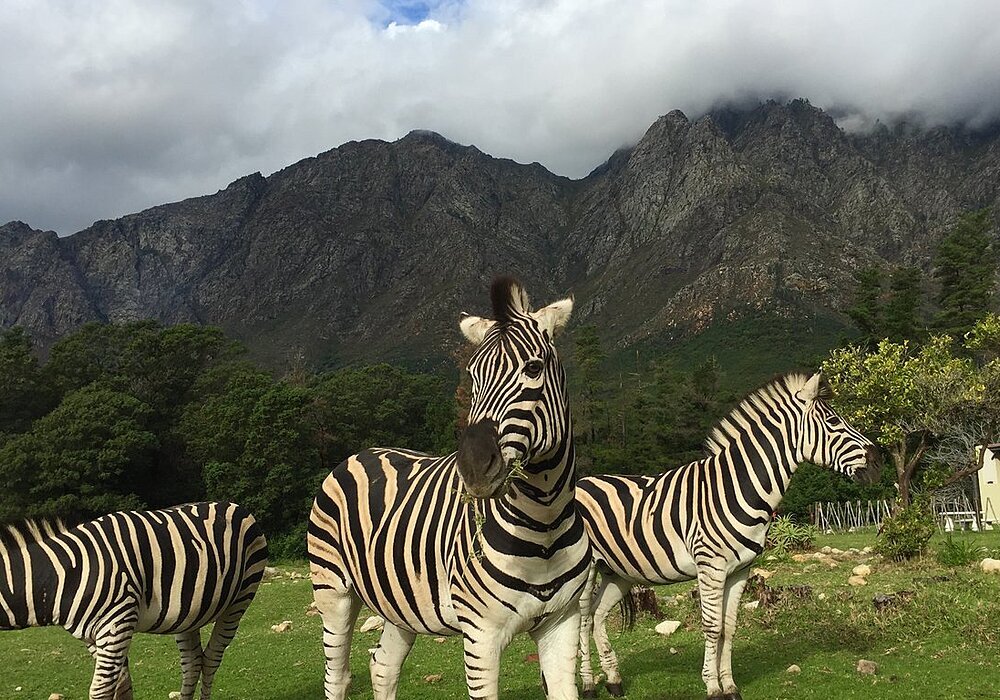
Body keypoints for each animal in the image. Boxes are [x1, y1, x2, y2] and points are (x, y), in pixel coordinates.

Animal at [0, 500, 270, 696]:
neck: (59, 576)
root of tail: (232, 504)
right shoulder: (94, 636)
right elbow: (122, 688)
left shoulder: (116, 623)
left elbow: (101, 691)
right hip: (188, 614)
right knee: (193, 663)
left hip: (240, 599)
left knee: (212, 658)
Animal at [308, 278, 592, 700]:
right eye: (473, 375)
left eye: (534, 367)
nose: (472, 468)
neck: (544, 524)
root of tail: (362, 452)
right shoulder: (481, 634)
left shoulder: (562, 622)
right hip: (333, 590)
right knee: (337, 675)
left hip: (400, 604)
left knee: (382, 665)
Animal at [580, 374, 876, 700]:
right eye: (833, 421)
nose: (877, 459)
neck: (737, 487)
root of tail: (581, 481)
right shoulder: (711, 566)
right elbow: (712, 626)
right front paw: (712, 687)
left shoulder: (740, 570)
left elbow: (729, 626)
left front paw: (730, 685)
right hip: (584, 569)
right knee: (581, 620)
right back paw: (587, 685)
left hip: (618, 571)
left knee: (596, 615)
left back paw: (613, 681)